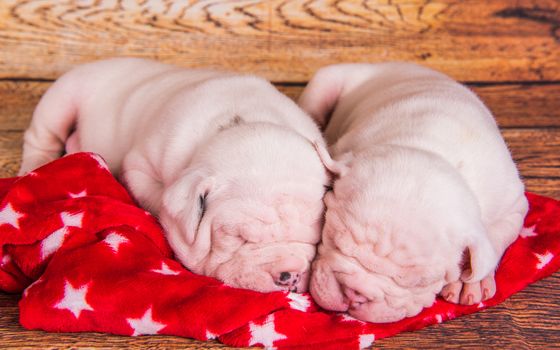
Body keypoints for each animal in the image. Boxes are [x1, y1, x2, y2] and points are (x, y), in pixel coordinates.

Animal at [19, 57, 330, 292]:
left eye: (316, 238)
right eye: (237, 238)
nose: (290, 274)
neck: (240, 122)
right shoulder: (139, 166)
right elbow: (159, 198)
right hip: (62, 97)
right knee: (40, 136)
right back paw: (34, 166)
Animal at [300, 63, 528, 322]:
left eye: (418, 282)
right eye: (333, 239)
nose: (354, 293)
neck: (431, 148)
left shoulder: (514, 205)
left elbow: (496, 237)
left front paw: (471, 281)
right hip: (327, 80)